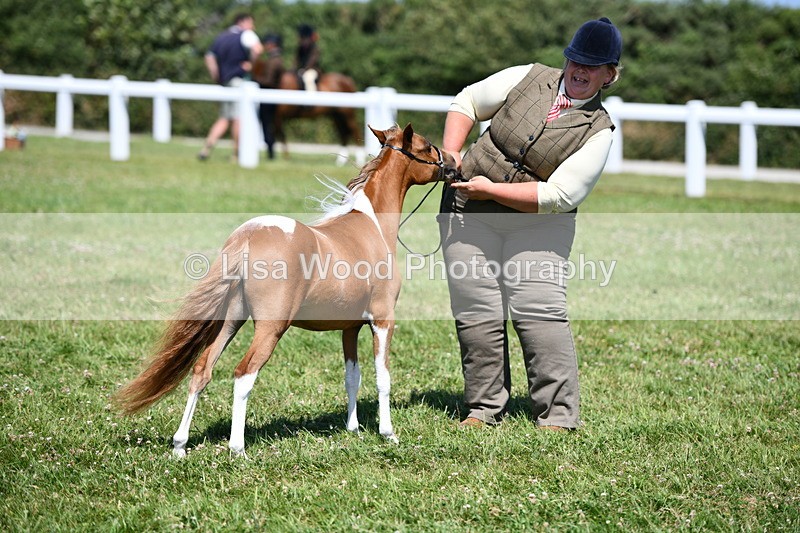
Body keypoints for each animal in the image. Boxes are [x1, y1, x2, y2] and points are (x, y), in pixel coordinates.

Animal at [114, 124, 458, 457]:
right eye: (427, 147)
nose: (454, 164)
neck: (371, 227)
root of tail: (248, 236)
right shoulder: (383, 320)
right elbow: (382, 377)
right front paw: (388, 433)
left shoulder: (350, 327)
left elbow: (352, 377)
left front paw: (354, 429)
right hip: (270, 328)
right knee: (243, 374)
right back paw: (238, 449)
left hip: (230, 321)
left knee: (202, 370)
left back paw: (180, 446)